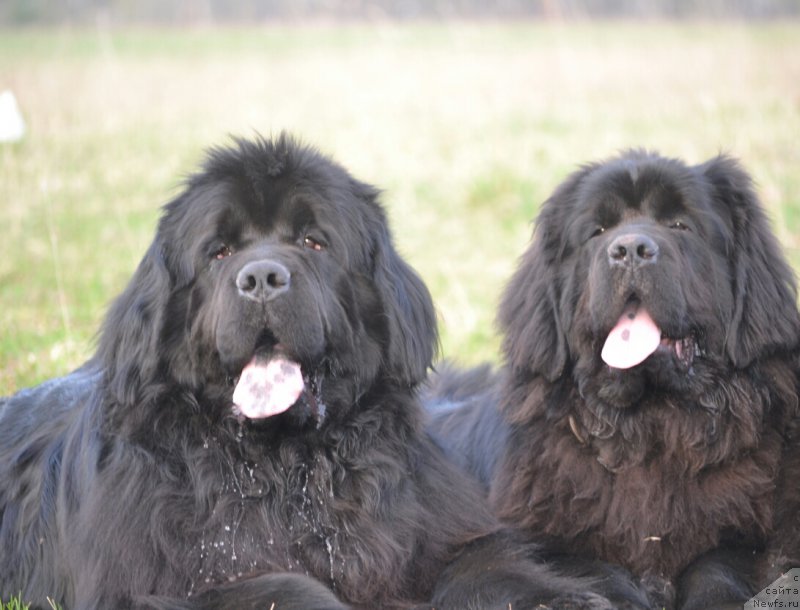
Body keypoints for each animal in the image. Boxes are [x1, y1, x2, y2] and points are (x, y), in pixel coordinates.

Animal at [0, 137, 644, 608]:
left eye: (312, 242)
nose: (261, 278)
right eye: (218, 252)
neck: (289, 468)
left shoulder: (433, 536)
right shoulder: (152, 583)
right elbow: (288, 586)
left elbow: (490, 563)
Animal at [428, 151, 800, 608]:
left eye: (680, 224)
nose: (630, 250)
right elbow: (594, 570)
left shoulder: (745, 537)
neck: (650, 429)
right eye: (598, 232)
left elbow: (716, 567)